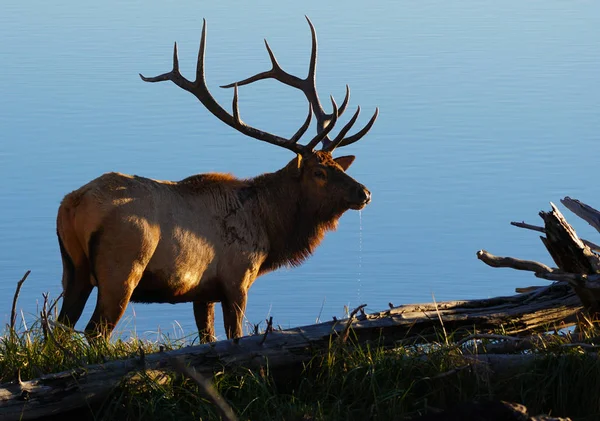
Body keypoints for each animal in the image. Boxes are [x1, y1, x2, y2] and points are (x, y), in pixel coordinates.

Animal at [56, 17, 378, 342]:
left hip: (73, 271)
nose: (364, 193)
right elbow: (235, 334)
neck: (270, 227)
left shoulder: (202, 292)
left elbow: (207, 337)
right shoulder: (237, 278)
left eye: (339, 167)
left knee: (60, 326)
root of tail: (73, 203)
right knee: (95, 330)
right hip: (122, 267)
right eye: (318, 173)